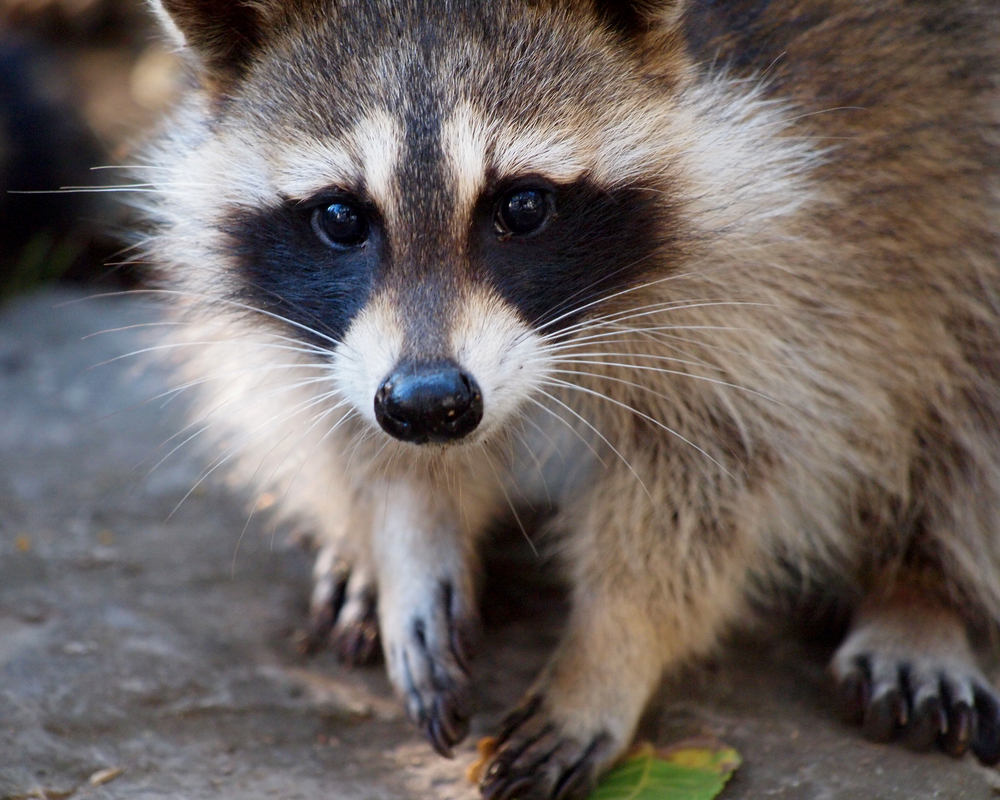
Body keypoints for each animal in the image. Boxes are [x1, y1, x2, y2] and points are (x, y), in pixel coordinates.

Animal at [143, 0, 1000, 797]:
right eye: (340, 216)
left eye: (522, 206)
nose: (430, 405)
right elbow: (340, 409)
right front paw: (406, 529)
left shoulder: (795, 245)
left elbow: (714, 463)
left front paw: (611, 648)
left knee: (966, 377)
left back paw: (921, 590)